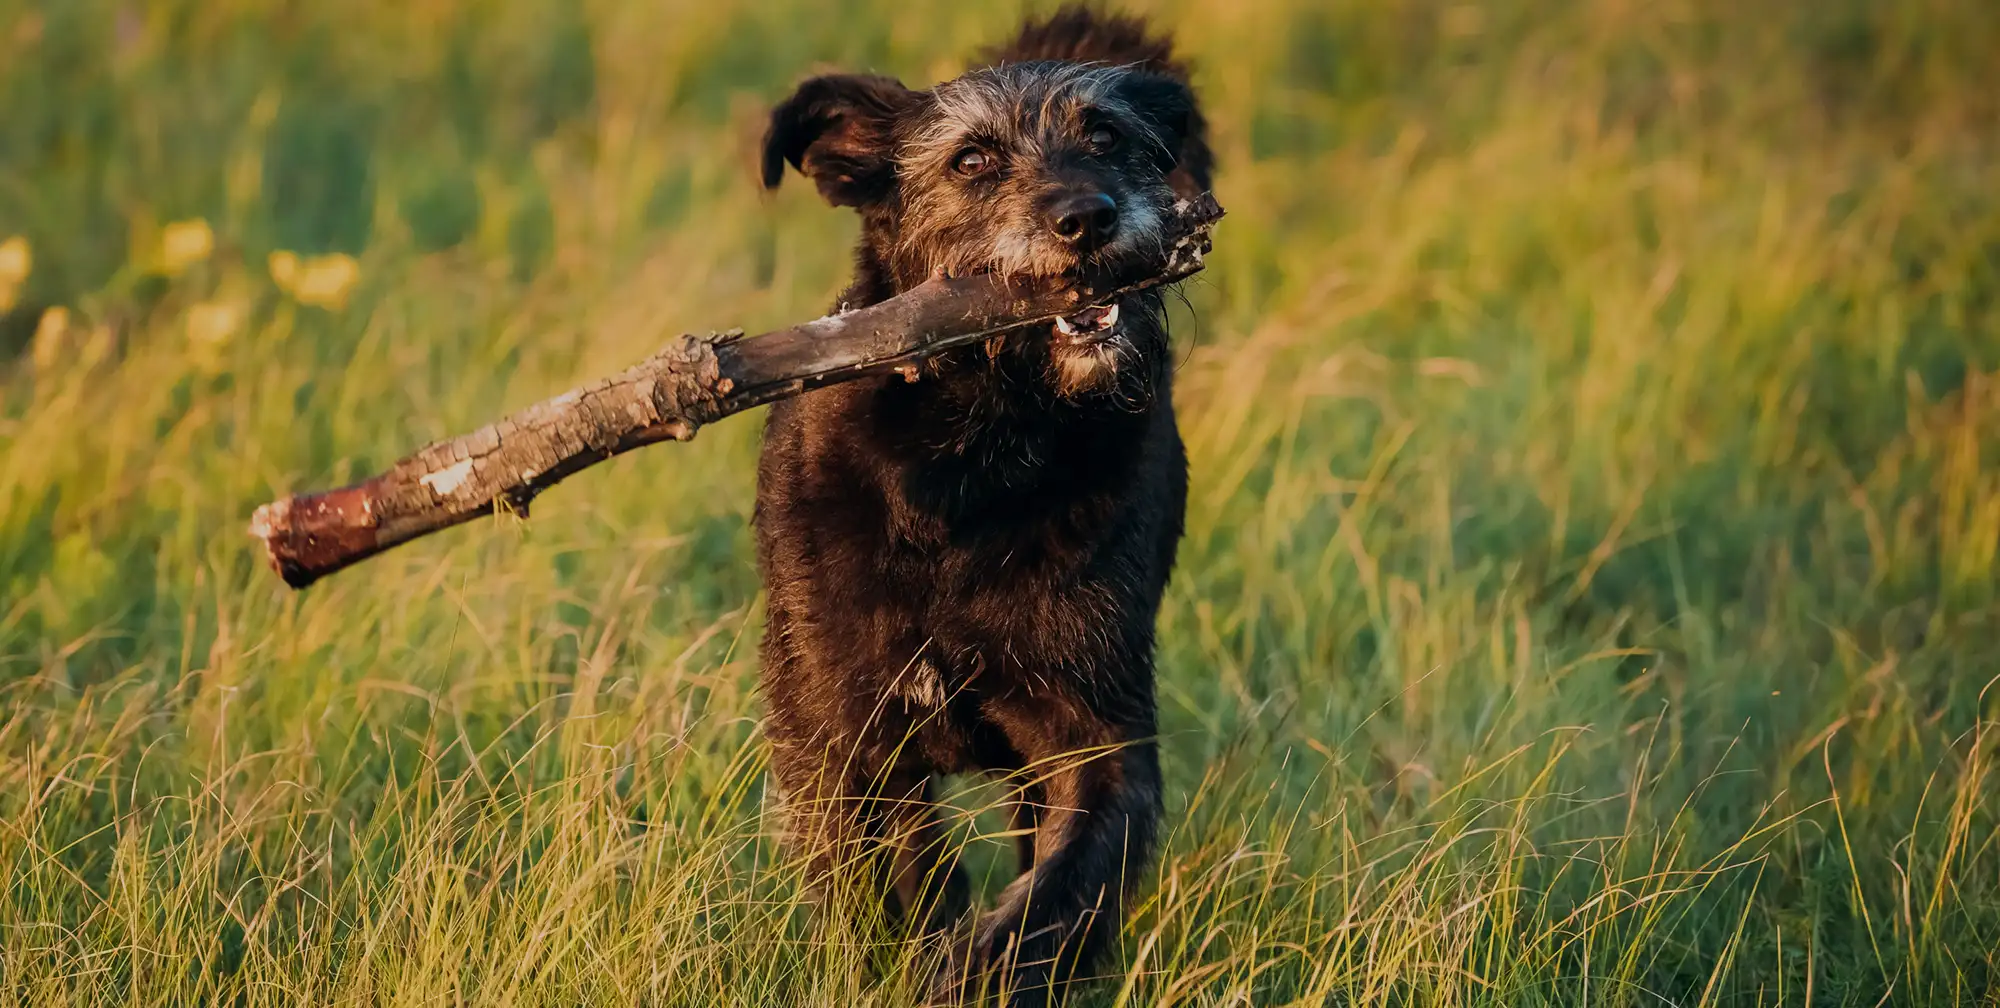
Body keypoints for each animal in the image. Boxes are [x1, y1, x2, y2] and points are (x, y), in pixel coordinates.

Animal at [752, 5, 1208, 1000]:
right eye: (971, 160)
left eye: (1105, 137)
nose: (1087, 217)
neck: (979, 458)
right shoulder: (853, 740)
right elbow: (904, 886)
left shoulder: (1096, 735)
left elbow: (1061, 891)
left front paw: (980, 970)